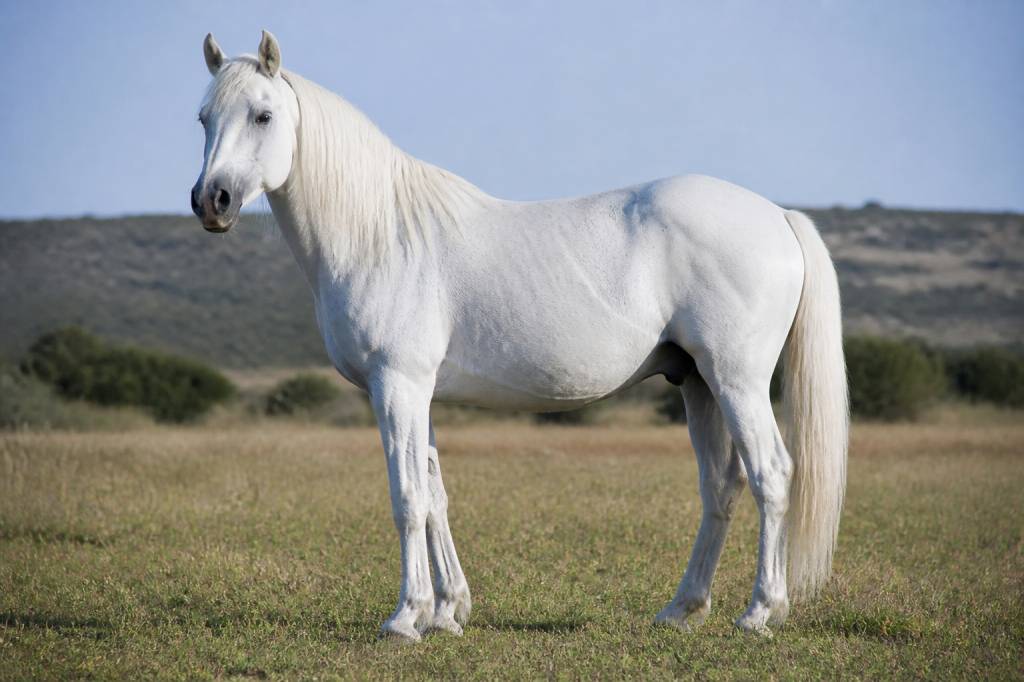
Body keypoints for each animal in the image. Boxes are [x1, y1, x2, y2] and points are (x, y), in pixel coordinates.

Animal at [190, 31, 848, 641]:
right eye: (203, 118)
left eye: (263, 115)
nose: (210, 201)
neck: (380, 234)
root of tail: (778, 216)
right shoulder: (419, 393)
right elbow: (435, 497)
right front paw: (448, 613)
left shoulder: (397, 385)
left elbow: (407, 498)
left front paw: (406, 618)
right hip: (697, 384)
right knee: (721, 487)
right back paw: (682, 609)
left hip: (737, 381)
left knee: (771, 476)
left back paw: (759, 612)